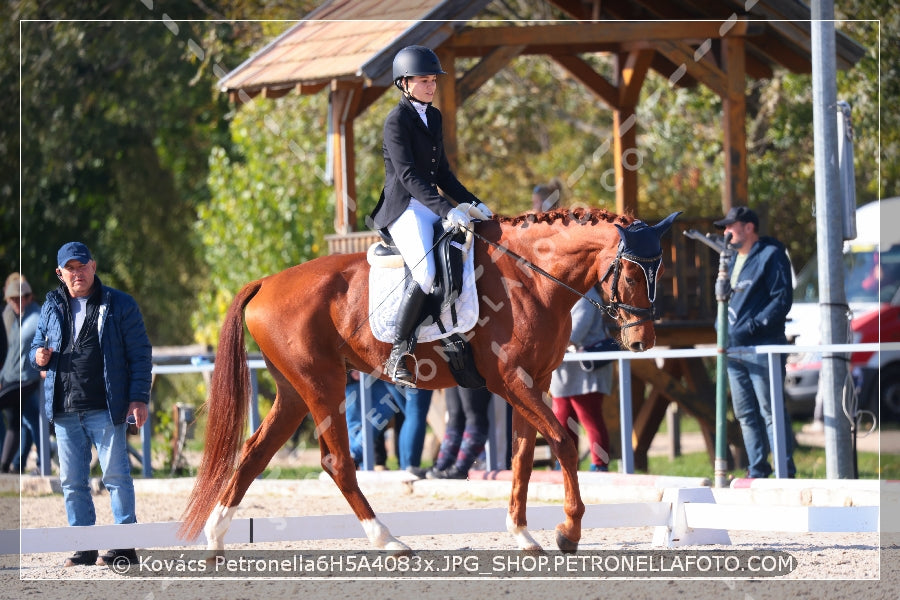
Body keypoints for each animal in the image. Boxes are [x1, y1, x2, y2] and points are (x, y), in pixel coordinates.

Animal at [179, 207, 680, 552]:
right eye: (631, 272)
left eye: (660, 271)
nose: (641, 341)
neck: (531, 277)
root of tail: (266, 282)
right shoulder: (510, 382)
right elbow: (562, 442)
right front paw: (568, 531)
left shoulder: (533, 383)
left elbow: (521, 457)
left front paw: (522, 534)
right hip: (322, 386)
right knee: (337, 463)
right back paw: (389, 542)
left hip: (294, 393)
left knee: (254, 454)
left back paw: (216, 540)